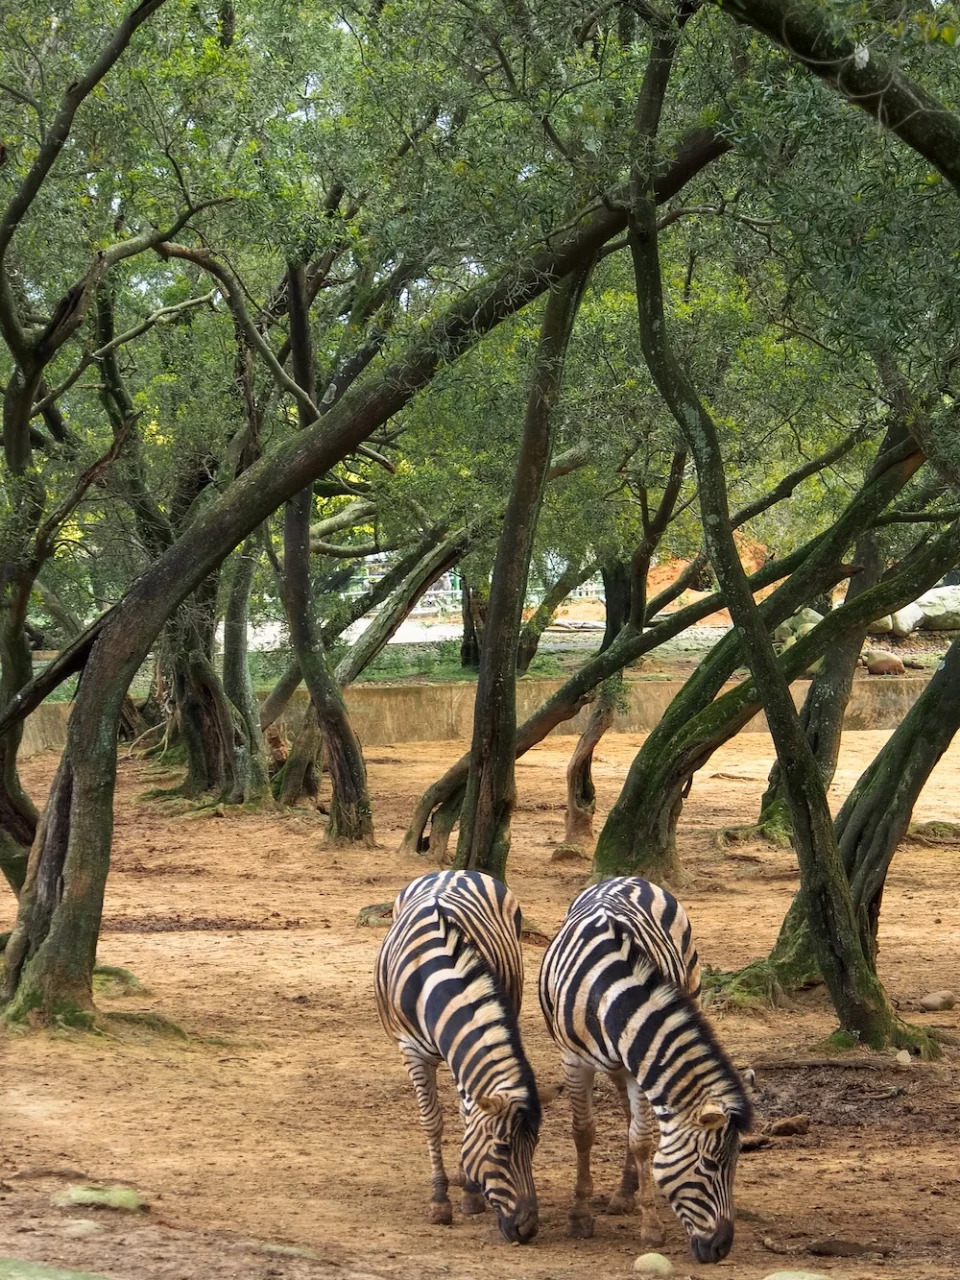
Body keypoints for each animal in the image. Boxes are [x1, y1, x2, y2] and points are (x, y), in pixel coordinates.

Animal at [378, 870, 552, 1239]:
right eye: (501, 1147)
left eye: (535, 1144)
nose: (528, 1229)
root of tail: (456, 870)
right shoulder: (411, 1050)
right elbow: (432, 1121)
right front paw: (439, 1201)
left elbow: (467, 1115)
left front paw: (471, 1193)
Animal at [542, 875, 752, 1264]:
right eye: (710, 1165)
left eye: (734, 1164)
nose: (721, 1248)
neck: (607, 992)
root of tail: (628, 877)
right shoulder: (573, 1060)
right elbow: (583, 1132)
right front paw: (579, 1216)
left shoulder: (639, 1066)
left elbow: (640, 1140)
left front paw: (650, 1224)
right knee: (624, 1114)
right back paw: (624, 1193)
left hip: (688, 989)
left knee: (631, 1120)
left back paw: (627, 1194)